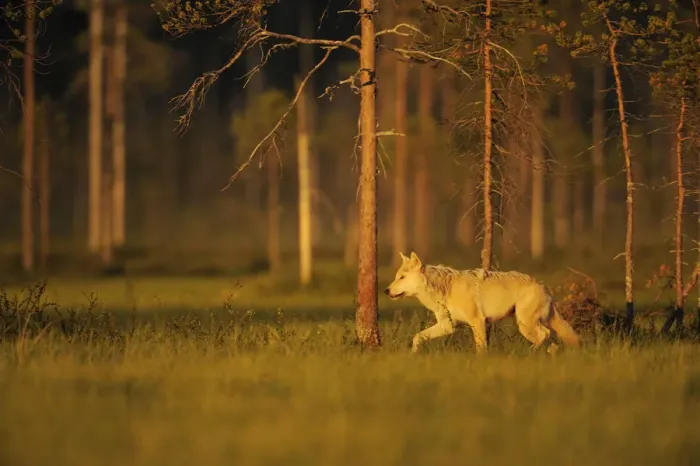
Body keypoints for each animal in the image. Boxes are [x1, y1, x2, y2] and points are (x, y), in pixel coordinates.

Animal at [384, 251, 581, 353]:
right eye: (396, 277)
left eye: (402, 277)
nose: (386, 290)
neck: (444, 290)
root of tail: (544, 286)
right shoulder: (447, 326)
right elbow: (418, 337)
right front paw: (413, 354)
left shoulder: (477, 322)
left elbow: (480, 348)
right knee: (553, 343)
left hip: (524, 323)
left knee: (544, 335)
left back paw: (530, 352)